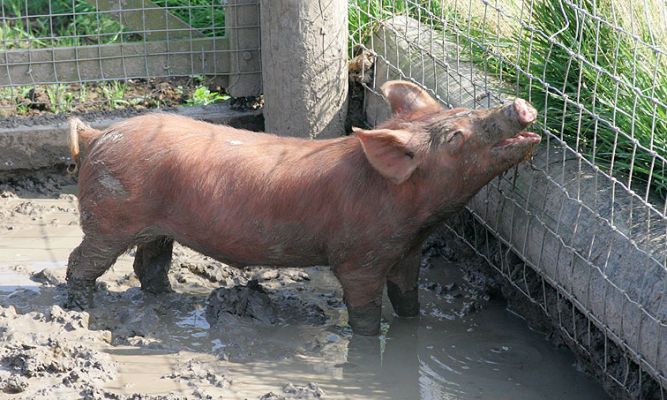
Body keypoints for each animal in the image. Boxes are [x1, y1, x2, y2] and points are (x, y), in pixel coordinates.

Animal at [65, 80, 539, 335]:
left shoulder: (408, 251)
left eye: (466, 109)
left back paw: (171, 300)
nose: (520, 105)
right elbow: (364, 310)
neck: (418, 217)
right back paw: (79, 309)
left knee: (149, 264)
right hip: (110, 217)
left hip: (156, 226)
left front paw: (412, 328)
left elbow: (409, 299)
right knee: (81, 260)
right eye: (457, 137)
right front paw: (369, 340)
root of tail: (96, 137)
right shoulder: (358, 257)